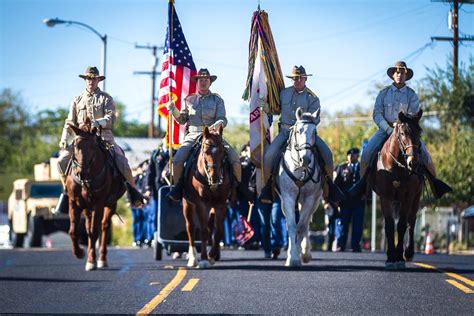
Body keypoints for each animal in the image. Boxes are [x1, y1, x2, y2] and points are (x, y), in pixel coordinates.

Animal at [67, 119, 126, 270]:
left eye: (93, 146)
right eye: (75, 145)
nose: (81, 172)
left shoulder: (98, 204)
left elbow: (94, 231)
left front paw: (90, 260)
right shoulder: (74, 202)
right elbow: (73, 231)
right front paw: (79, 253)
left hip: (111, 204)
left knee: (104, 226)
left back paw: (102, 259)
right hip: (87, 208)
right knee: (89, 226)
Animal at [181, 124, 231, 268]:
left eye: (222, 151)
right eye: (205, 151)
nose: (215, 177)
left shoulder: (221, 204)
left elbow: (218, 231)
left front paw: (212, 255)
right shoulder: (201, 204)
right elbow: (203, 231)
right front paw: (203, 259)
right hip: (187, 204)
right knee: (191, 228)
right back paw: (193, 258)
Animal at [276, 107, 324, 268]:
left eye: (314, 132)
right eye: (298, 131)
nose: (306, 159)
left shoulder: (309, 199)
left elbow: (301, 226)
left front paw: (299, 256)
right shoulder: (288, 198)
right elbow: (291, 225)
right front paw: (292, 258)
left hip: (314, 201)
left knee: (306, 223)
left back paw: (305, 253)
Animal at [368, 110, 424, 270]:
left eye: (419, 132)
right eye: (403, 133)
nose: (413, 162)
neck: (397, 165)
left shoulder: (408, 197)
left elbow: (402, 225)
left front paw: (399, 257)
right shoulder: (385, 197)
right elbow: (389, 225)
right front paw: (391, 257)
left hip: (416, 197)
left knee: (411, 221)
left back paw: (409, 252)